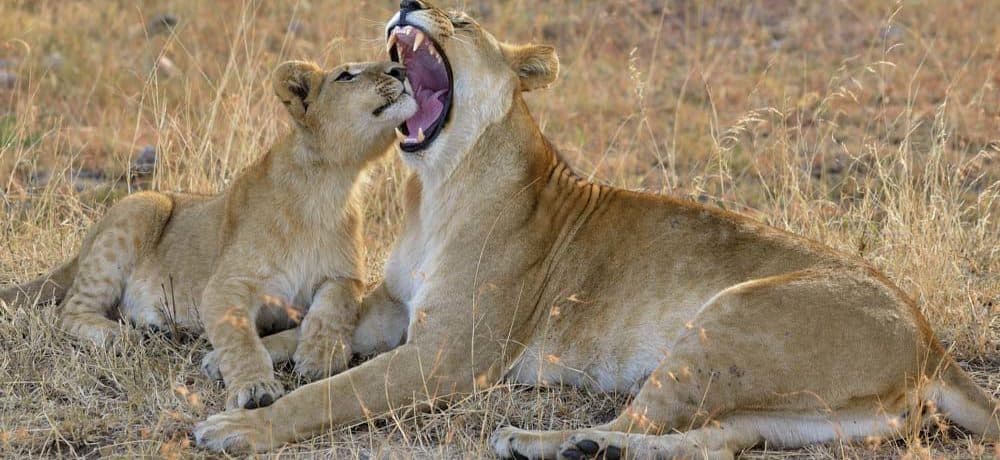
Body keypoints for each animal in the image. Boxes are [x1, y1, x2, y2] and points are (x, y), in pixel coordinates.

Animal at [0, 60, 417, 411]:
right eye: (347, 75)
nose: (399, 67)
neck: (330, 183)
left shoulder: (344, 276)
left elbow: (337, 304)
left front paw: (319, 355)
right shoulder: (226, 285)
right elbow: (239, 338)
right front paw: (255, 389)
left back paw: (156, 327)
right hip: (144, 205)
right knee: (69, 311)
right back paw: (122, 337)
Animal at [193, 1, 999, 456]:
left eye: (464, 21)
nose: (409, 0)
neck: (437, 185)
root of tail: (929, 338)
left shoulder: (450, 356)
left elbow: (334, 395)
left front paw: (242, 427)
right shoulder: (396, 311)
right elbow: (328, 328)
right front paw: (253, 362)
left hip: (728, 321)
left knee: (651, 422)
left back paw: (531, 439)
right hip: (798, 413)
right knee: (716, 438)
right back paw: (582, 446)